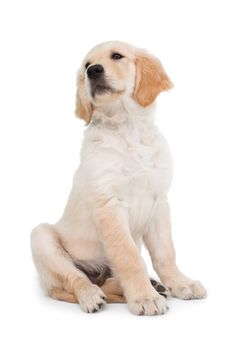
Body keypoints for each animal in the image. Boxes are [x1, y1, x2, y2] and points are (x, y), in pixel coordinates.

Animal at [30, 41, 206, 318]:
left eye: (117, 56)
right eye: (86, 65)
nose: (93, 71)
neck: (128, 128)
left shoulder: (159, 202)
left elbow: (165, 252)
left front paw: (180, 283)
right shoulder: (109, 205)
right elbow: (129, 257)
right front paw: (145, 298)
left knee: (107, 280)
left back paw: (156, 285)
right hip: (41, 238)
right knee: (78, 279)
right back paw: (93, 296)